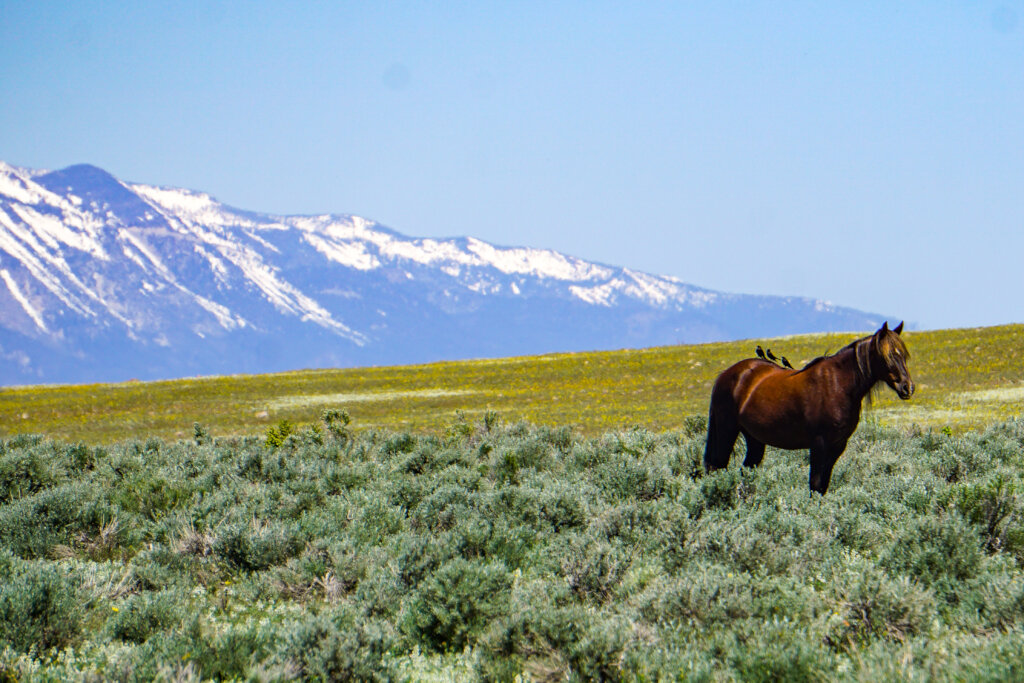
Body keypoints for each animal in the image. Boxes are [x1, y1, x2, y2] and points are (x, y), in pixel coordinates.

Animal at [703, 321, 914, 494]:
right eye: (888, 355)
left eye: (903, 355)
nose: (908, 387)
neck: (838, 385)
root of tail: (727, 374)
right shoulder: (819, 444)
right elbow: (815, 484)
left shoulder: (837, 445)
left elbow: (822, 486)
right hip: (726, 431)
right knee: (717, 467)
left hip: (754, 439)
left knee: (744, 471)